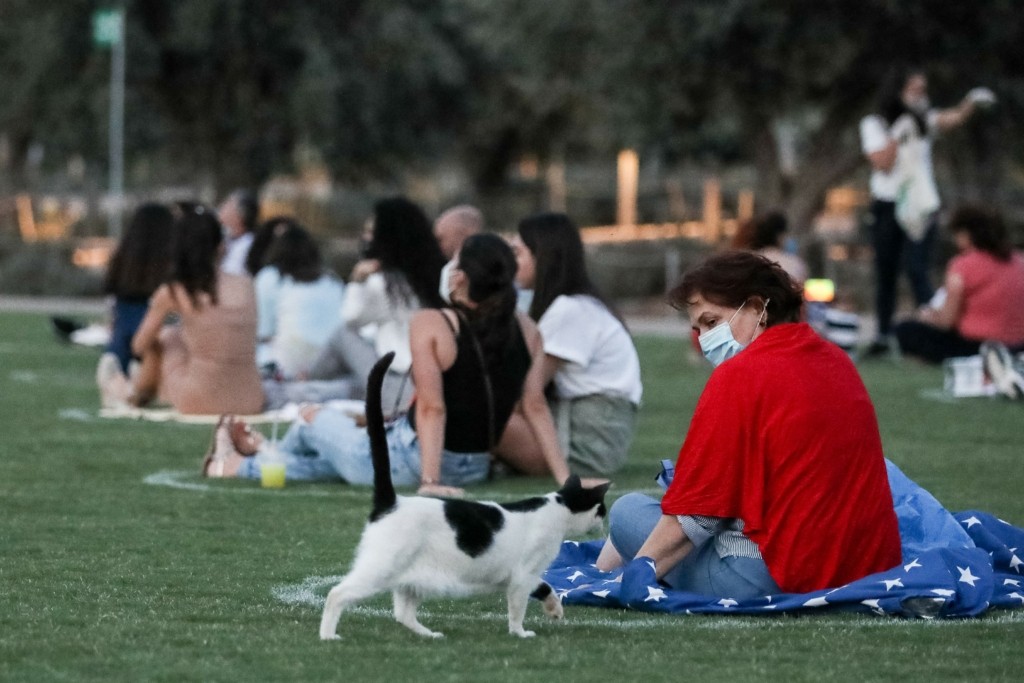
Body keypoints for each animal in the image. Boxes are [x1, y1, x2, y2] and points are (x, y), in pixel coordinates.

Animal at [319, 352, 606, 643]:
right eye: (602, 509)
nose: (605, 523)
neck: (557, 508)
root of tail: (393, 501)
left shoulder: (526, 576)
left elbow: (545, 586)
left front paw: (554, 609)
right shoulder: (522, 575)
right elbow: (518, 609)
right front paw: (520, 633)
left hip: (413, 581)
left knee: (403, 613)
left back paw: (430, 634)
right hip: (381, 569)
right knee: (336, 594)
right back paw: (328, 636)